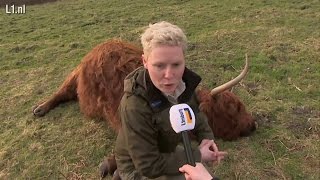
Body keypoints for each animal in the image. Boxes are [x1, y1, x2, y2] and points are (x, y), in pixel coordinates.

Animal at [32, 39, 258, 177]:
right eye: (235, 106)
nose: (253, 124)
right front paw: (111, 165)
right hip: (75, 75)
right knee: (61, 91)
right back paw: (40, 108)